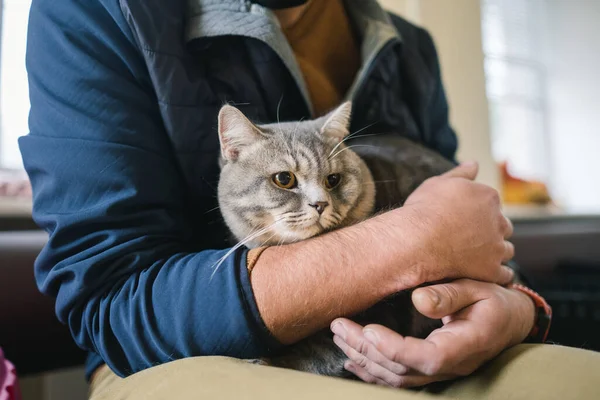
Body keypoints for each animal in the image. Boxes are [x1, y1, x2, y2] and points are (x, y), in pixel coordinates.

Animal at [218, 102, 452, 378]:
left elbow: (320, 352)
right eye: (284, 179)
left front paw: (272, 361)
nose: (320, 204)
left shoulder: (383, 313)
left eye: (333, 179)